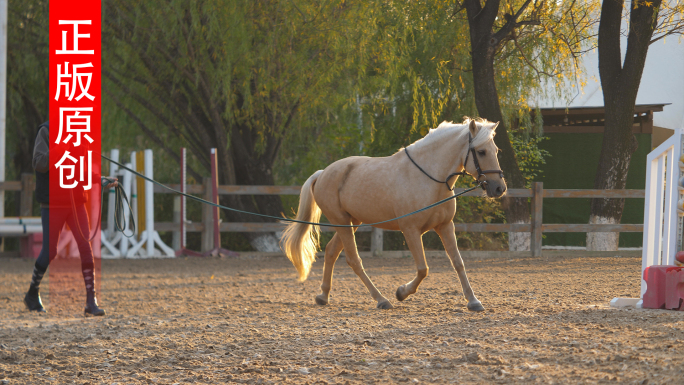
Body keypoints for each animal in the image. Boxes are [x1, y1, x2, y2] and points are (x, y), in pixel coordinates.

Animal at [280, 118, 504, 310]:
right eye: (481, 152)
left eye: (496, 150)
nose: (499, 188)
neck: (429, 178)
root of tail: (323, 173)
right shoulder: (411, 230)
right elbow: (423, 268)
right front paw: (401, 292)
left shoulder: (445, 226)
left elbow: (458, 263)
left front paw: (474, 301)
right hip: (341, 222)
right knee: (354, 260)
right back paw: (381, 299)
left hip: (351, 222)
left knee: (331, 252)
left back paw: (323, 296)